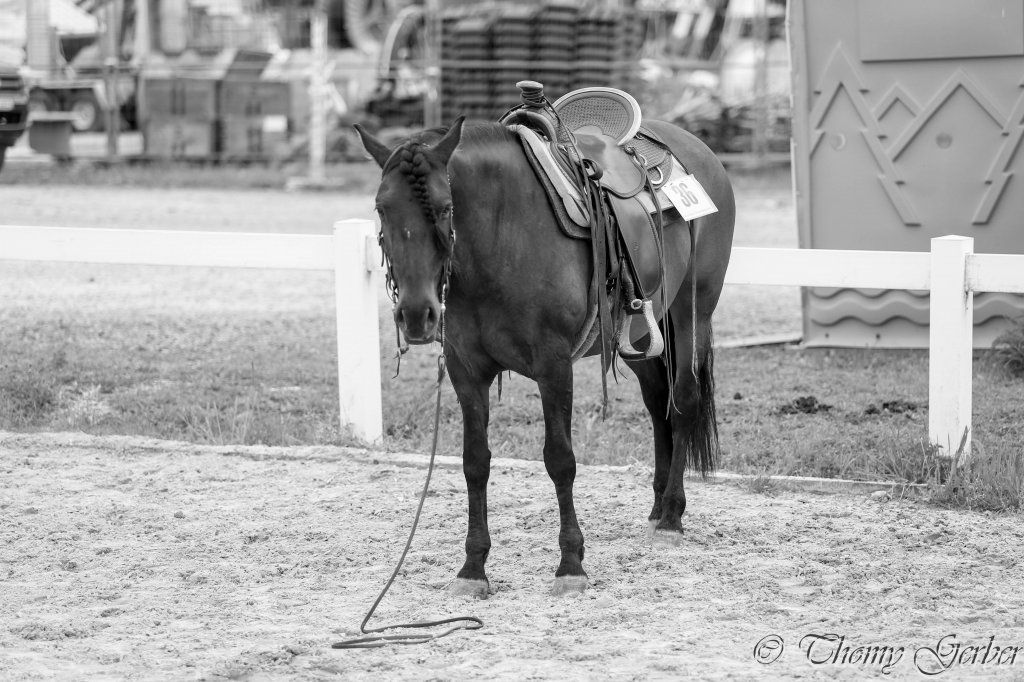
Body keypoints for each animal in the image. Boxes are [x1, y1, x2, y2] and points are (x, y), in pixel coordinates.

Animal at [355, 116, 735, 597]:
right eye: (382, 208)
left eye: (444, 207)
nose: (416, 313)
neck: (501, 238)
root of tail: (697, 149)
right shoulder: (465, 371)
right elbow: (474, 462)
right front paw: (473, 568)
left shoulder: (553, 367)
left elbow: (560, 460)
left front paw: (571, 564)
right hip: (642, 333)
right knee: (656, 405)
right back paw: (657, 510)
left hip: (692, 314)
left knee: (683, 401)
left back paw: (670, 517)